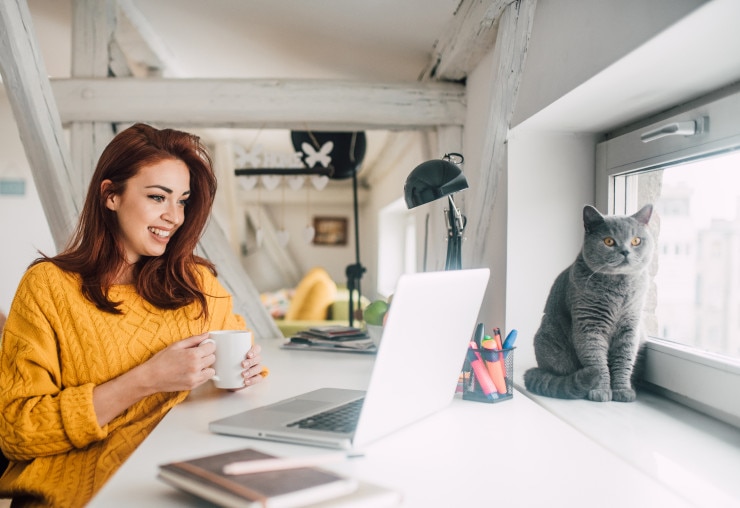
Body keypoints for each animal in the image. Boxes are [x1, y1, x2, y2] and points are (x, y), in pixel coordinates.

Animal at [528, 204, 652, 402]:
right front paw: (601, 390)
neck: (619, 289)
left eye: (636, 241)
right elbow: (597, 361)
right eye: (609, 241)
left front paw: (622, 389)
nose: (625, 251)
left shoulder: (630, 326)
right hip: (550, 339)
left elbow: (624, 359)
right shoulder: (589, 325)